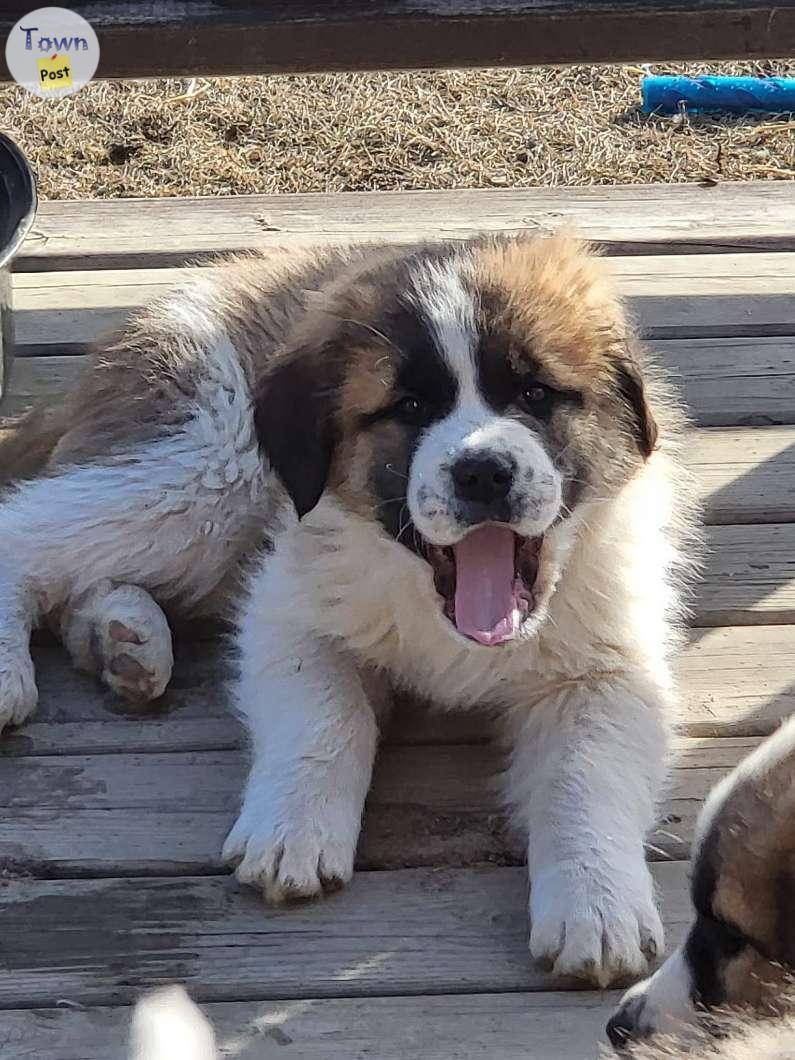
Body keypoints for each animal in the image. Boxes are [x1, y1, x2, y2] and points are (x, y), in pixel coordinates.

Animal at [0, 232, 695, 983]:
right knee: (28, 529)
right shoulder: (288, 610)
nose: (482, 472)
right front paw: (293, 831)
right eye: (410, 409)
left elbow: (586, 771)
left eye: (535, 395)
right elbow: (329, 713)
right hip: (207, 469)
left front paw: (597, 905)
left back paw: (123, 640)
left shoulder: (605, 663)